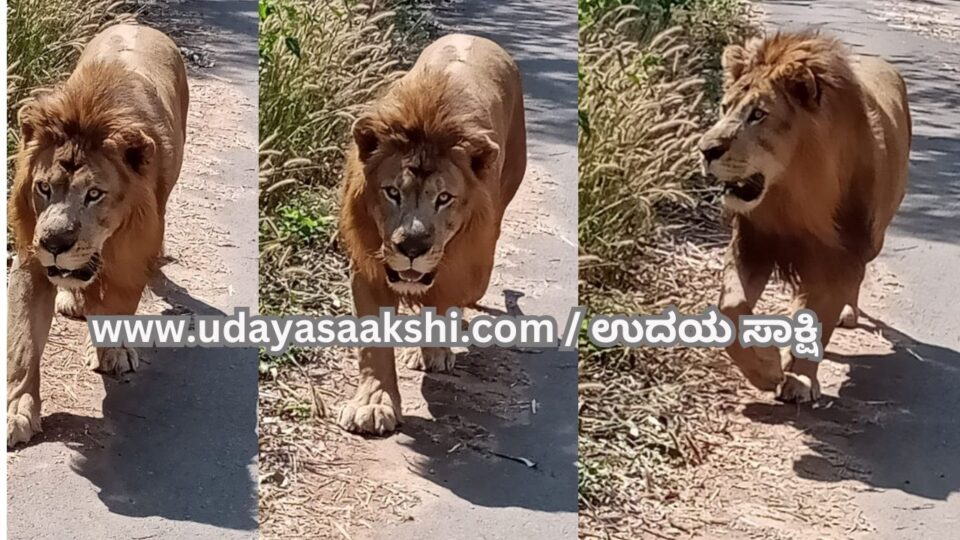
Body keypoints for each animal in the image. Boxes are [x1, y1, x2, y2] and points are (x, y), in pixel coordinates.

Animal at [7, 24, 189, 446]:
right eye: (43, 188)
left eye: (94, 194)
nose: (54, 245)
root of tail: (135, 23)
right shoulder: (30, 260)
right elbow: (23, 344)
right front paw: (18, 411)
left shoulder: (132, 252)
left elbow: (119, 303)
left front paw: (113, 351)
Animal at [337, 34, 526, 434]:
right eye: (392, 192)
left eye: (444, 198)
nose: (412, 246)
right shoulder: (368, 269)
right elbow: (373, 346)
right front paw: (373, 404)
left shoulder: (463, 267)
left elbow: (442, 305)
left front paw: (435, 350)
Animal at [698, 31, 910, 402]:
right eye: (725, 108)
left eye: (758, 114)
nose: (705, 150)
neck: (794, 196)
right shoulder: (752, 243)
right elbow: (731, 307)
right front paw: (766, 369)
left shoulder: (843, 256)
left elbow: (821, 317)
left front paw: (799, 379)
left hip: (873, 242)